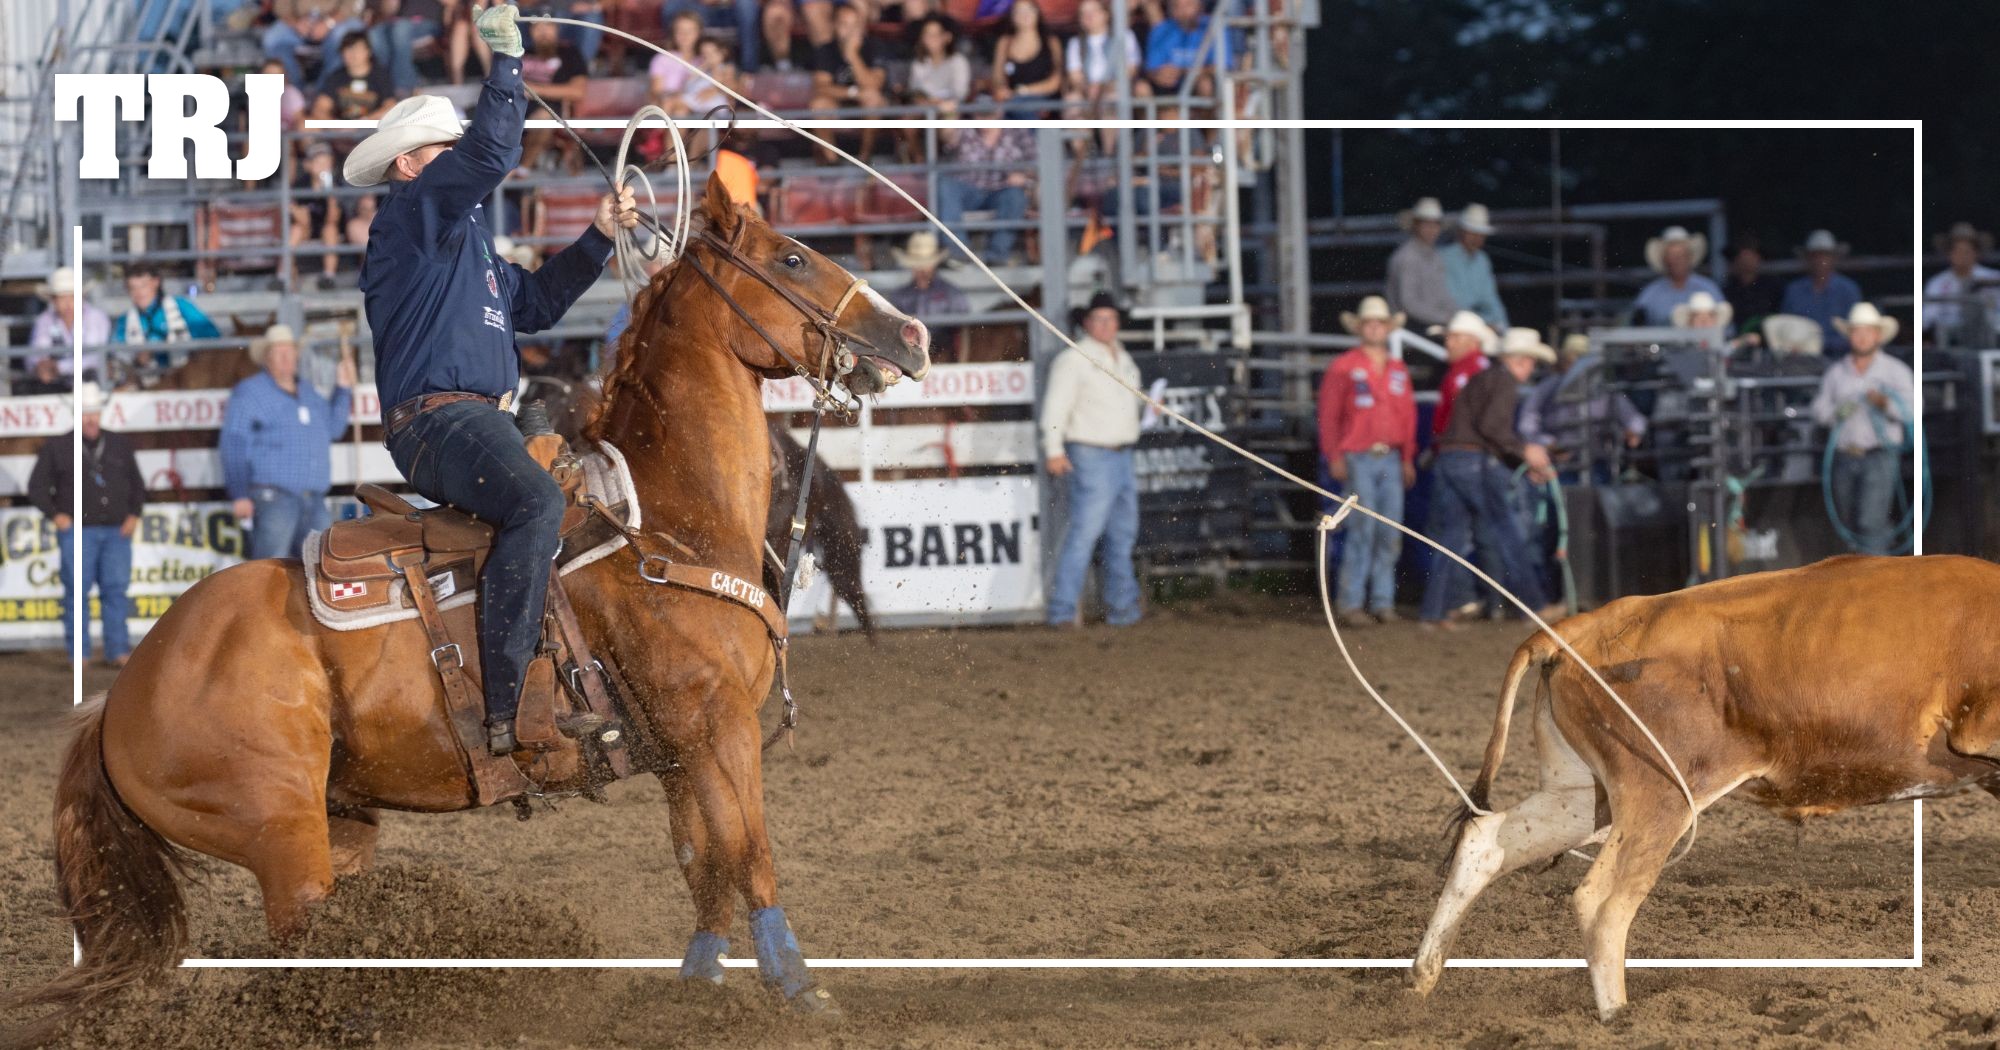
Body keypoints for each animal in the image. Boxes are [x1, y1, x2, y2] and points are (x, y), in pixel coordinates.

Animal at [6, 173, 930, 1042]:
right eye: (793, 258)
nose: (913, 337)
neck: (666, 520)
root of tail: (121, 695)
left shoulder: (677, 752)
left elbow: (702, 865)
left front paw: (700, 986)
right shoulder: (716, 725)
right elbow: (751, 854)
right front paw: (799, 988)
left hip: (338, 820)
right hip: (279, 831)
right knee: (302, 939)